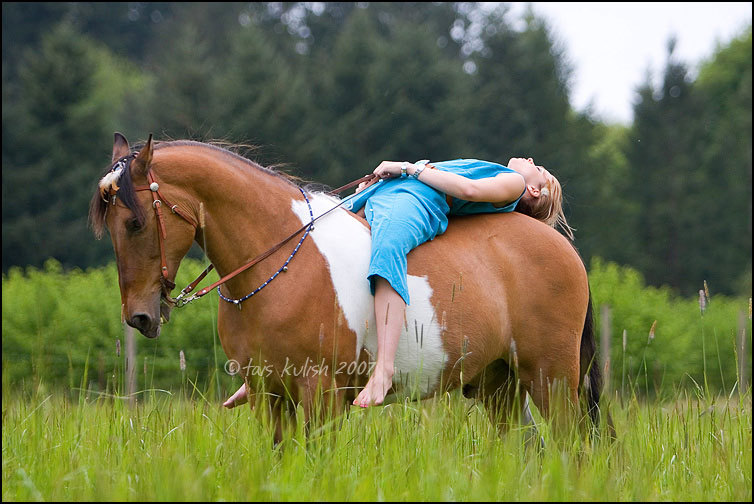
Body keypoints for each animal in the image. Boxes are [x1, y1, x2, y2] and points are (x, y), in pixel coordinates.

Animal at [89, 133, 604, 440]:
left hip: (552, 380)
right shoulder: (268, 395)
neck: (281, 260)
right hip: (501, 385)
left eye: (135, 222)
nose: (140, 316)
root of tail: (565, 251)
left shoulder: (321, 393)